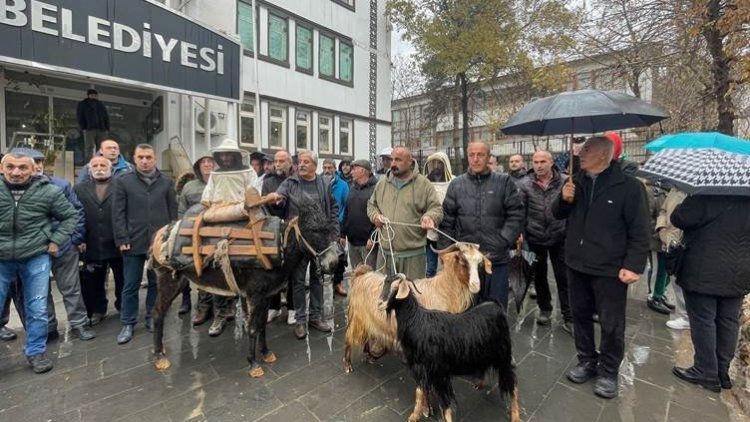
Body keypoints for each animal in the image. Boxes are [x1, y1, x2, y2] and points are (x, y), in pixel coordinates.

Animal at [344, 242, 490, 370]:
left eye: (480, 263)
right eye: (463, 260)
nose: (476, 285)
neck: (443, 291)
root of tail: (361, 274)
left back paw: (368, 355)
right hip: (356, 317)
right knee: (349, 337)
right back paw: (348, 365)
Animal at [384, 274, 520, 422]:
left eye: (391, 284)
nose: (380, 304)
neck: (415, 321)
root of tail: (496, 306)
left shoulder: (439, 373)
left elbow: (445, 404)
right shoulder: (422, 369)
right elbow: (420, 391)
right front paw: (415, 415)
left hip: (503, 355)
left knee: (512, 385)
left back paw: (516, 416)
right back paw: (479, 383)